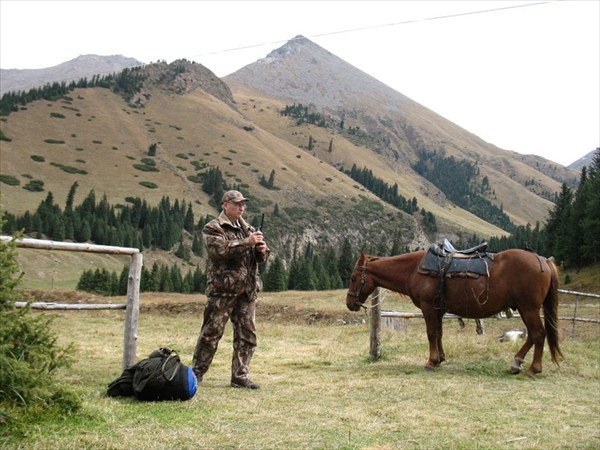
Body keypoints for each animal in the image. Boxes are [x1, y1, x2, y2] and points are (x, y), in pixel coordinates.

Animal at [346, 250, 564, 376]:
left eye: (353, 278)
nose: (349, 303)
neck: (414, 269)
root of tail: (543, 260)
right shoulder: (438, 310)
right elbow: (439, 334)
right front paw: (440, 359)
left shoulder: (428, 307)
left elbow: (431, 334)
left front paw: (431, 362)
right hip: (525, 308)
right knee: (532, 336)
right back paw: (516, 364)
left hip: (529, 308)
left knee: (538, 334)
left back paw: (533, 369)